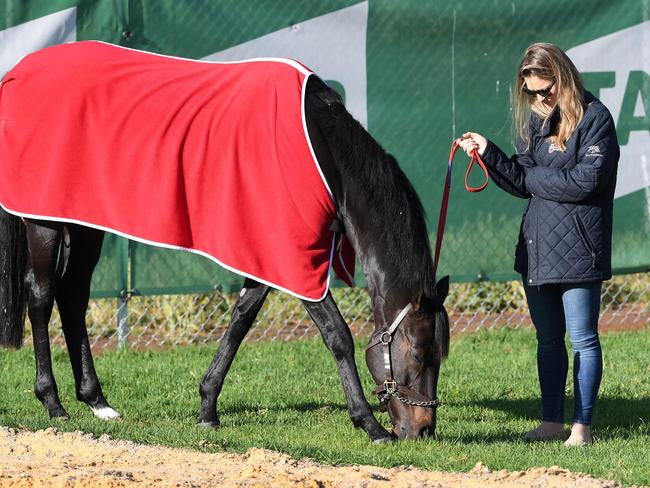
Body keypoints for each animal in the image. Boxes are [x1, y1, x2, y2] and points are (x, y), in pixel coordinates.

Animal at [0, 43, 446, 442]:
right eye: (420, 352)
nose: (422, 431)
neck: (320, 151)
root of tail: (19, 71)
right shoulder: (294, 258)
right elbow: (337, 334)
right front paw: (369, 424)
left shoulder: (266, 253)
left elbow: (240, 320)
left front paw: (207, 407)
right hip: (44, 221)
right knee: (41, 296)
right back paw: (53, 402)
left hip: (84, 222)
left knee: (72, 296)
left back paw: (97, 402)